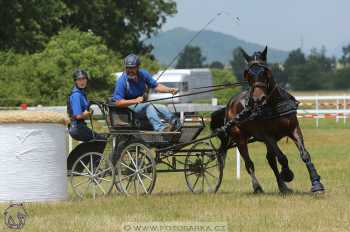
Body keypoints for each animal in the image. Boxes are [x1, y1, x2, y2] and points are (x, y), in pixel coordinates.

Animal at [209, 46, 324, 193]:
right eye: (247, 74)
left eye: (265, 71)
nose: (258, 99)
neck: (274, 106)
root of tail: (230, 104)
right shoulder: (268, 136)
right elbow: (282, 157)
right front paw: (287, 174)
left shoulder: (293, 129)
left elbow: (304, 154)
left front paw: (316, 183)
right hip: (240, 138)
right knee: (249, 163)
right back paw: (258, 187)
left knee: (270, 160)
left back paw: (283, 187)